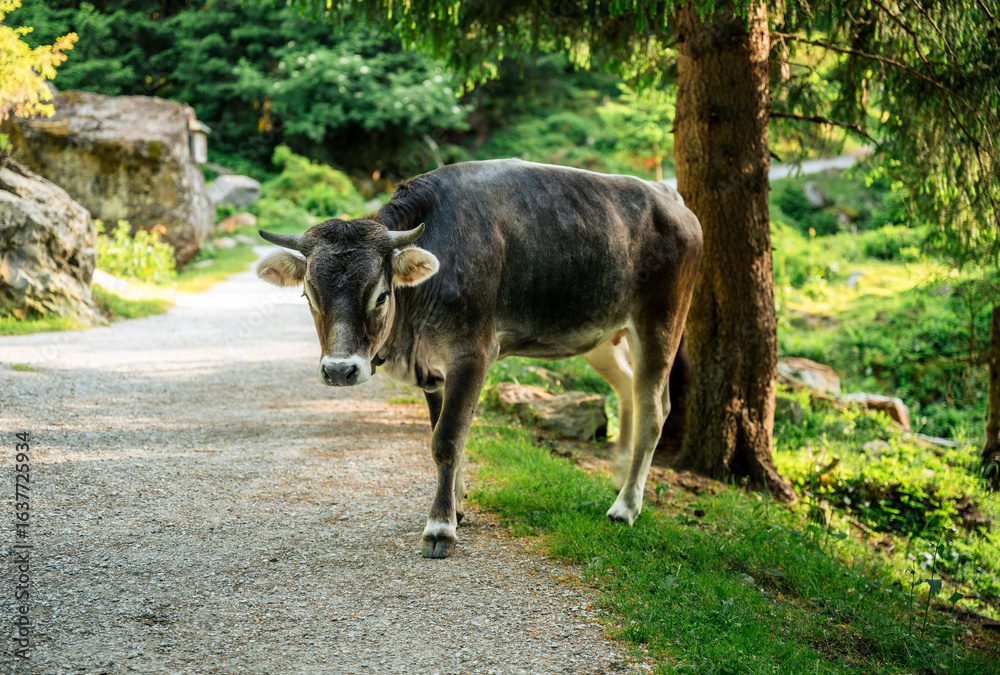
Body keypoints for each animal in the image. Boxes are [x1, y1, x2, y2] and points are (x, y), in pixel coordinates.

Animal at [256, 159, 702, 558]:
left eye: (380, 296)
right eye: (309, 296)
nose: (339, 370)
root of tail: (669, 196)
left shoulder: (473, 352)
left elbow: (448, 440)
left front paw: (440, 528)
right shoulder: (433, 369)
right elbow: (442, 434)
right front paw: (456, 507)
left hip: (661, 324)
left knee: (653, 412)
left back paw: (625, 506)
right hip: (602, 335)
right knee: (627, 390)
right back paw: (618, 475)